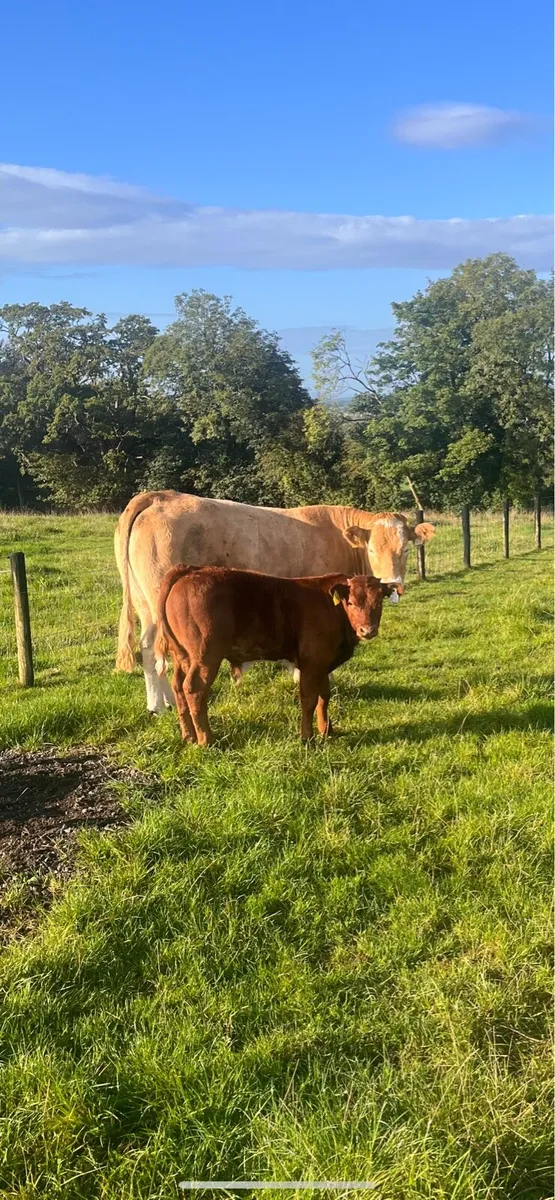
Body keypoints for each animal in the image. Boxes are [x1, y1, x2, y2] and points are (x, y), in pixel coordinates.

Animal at [114, 490, 435, 713]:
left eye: (406, 548)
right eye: (371, 549)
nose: (394, 584)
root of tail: (159, 495)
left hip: (145, 603)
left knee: (151, 647)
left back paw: (163, 701)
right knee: (156, 649)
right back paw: (159, 704)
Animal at [155, 565, 398, 745]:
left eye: (379, 602)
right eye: (352, 602)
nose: (368, 630)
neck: (333, 608)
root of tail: (191, 570)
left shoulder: (322, 663)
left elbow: (324, 696)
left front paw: (326, 730)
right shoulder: (312, 662)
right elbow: (309, 699)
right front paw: (307, 738)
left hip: (183, 656)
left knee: (178, 687)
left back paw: (188, 736)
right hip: (206, 656)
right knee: (194, 689)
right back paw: (206, 740)